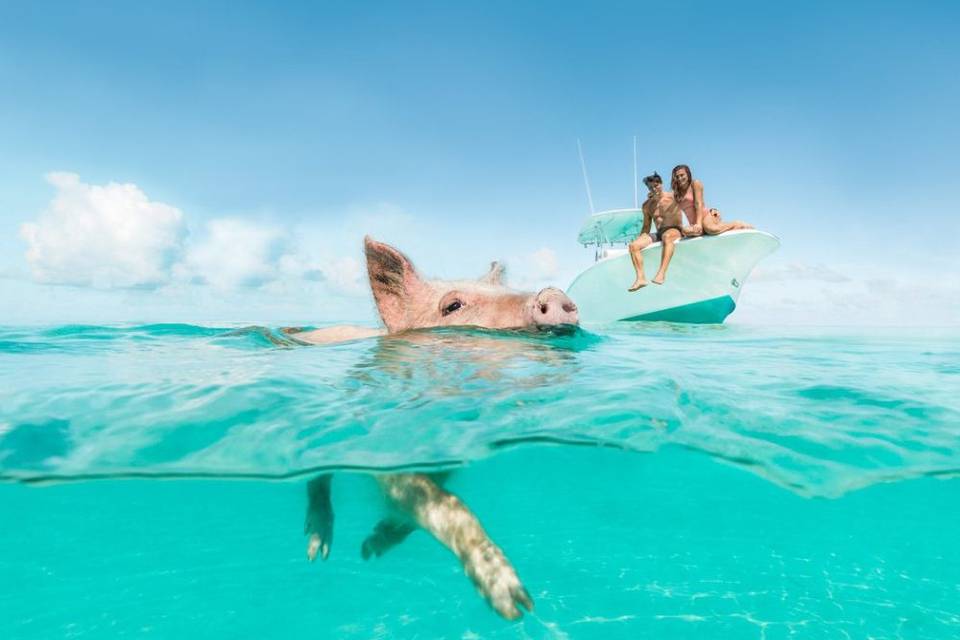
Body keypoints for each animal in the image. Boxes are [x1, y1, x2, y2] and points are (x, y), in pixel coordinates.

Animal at [293, 237, 579, 620]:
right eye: (453, 306)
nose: (553, 292)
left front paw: (371, 547)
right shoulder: (387, 454)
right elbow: (448, 505)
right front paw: (516, 604)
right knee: (318, 479)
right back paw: (317, 551)